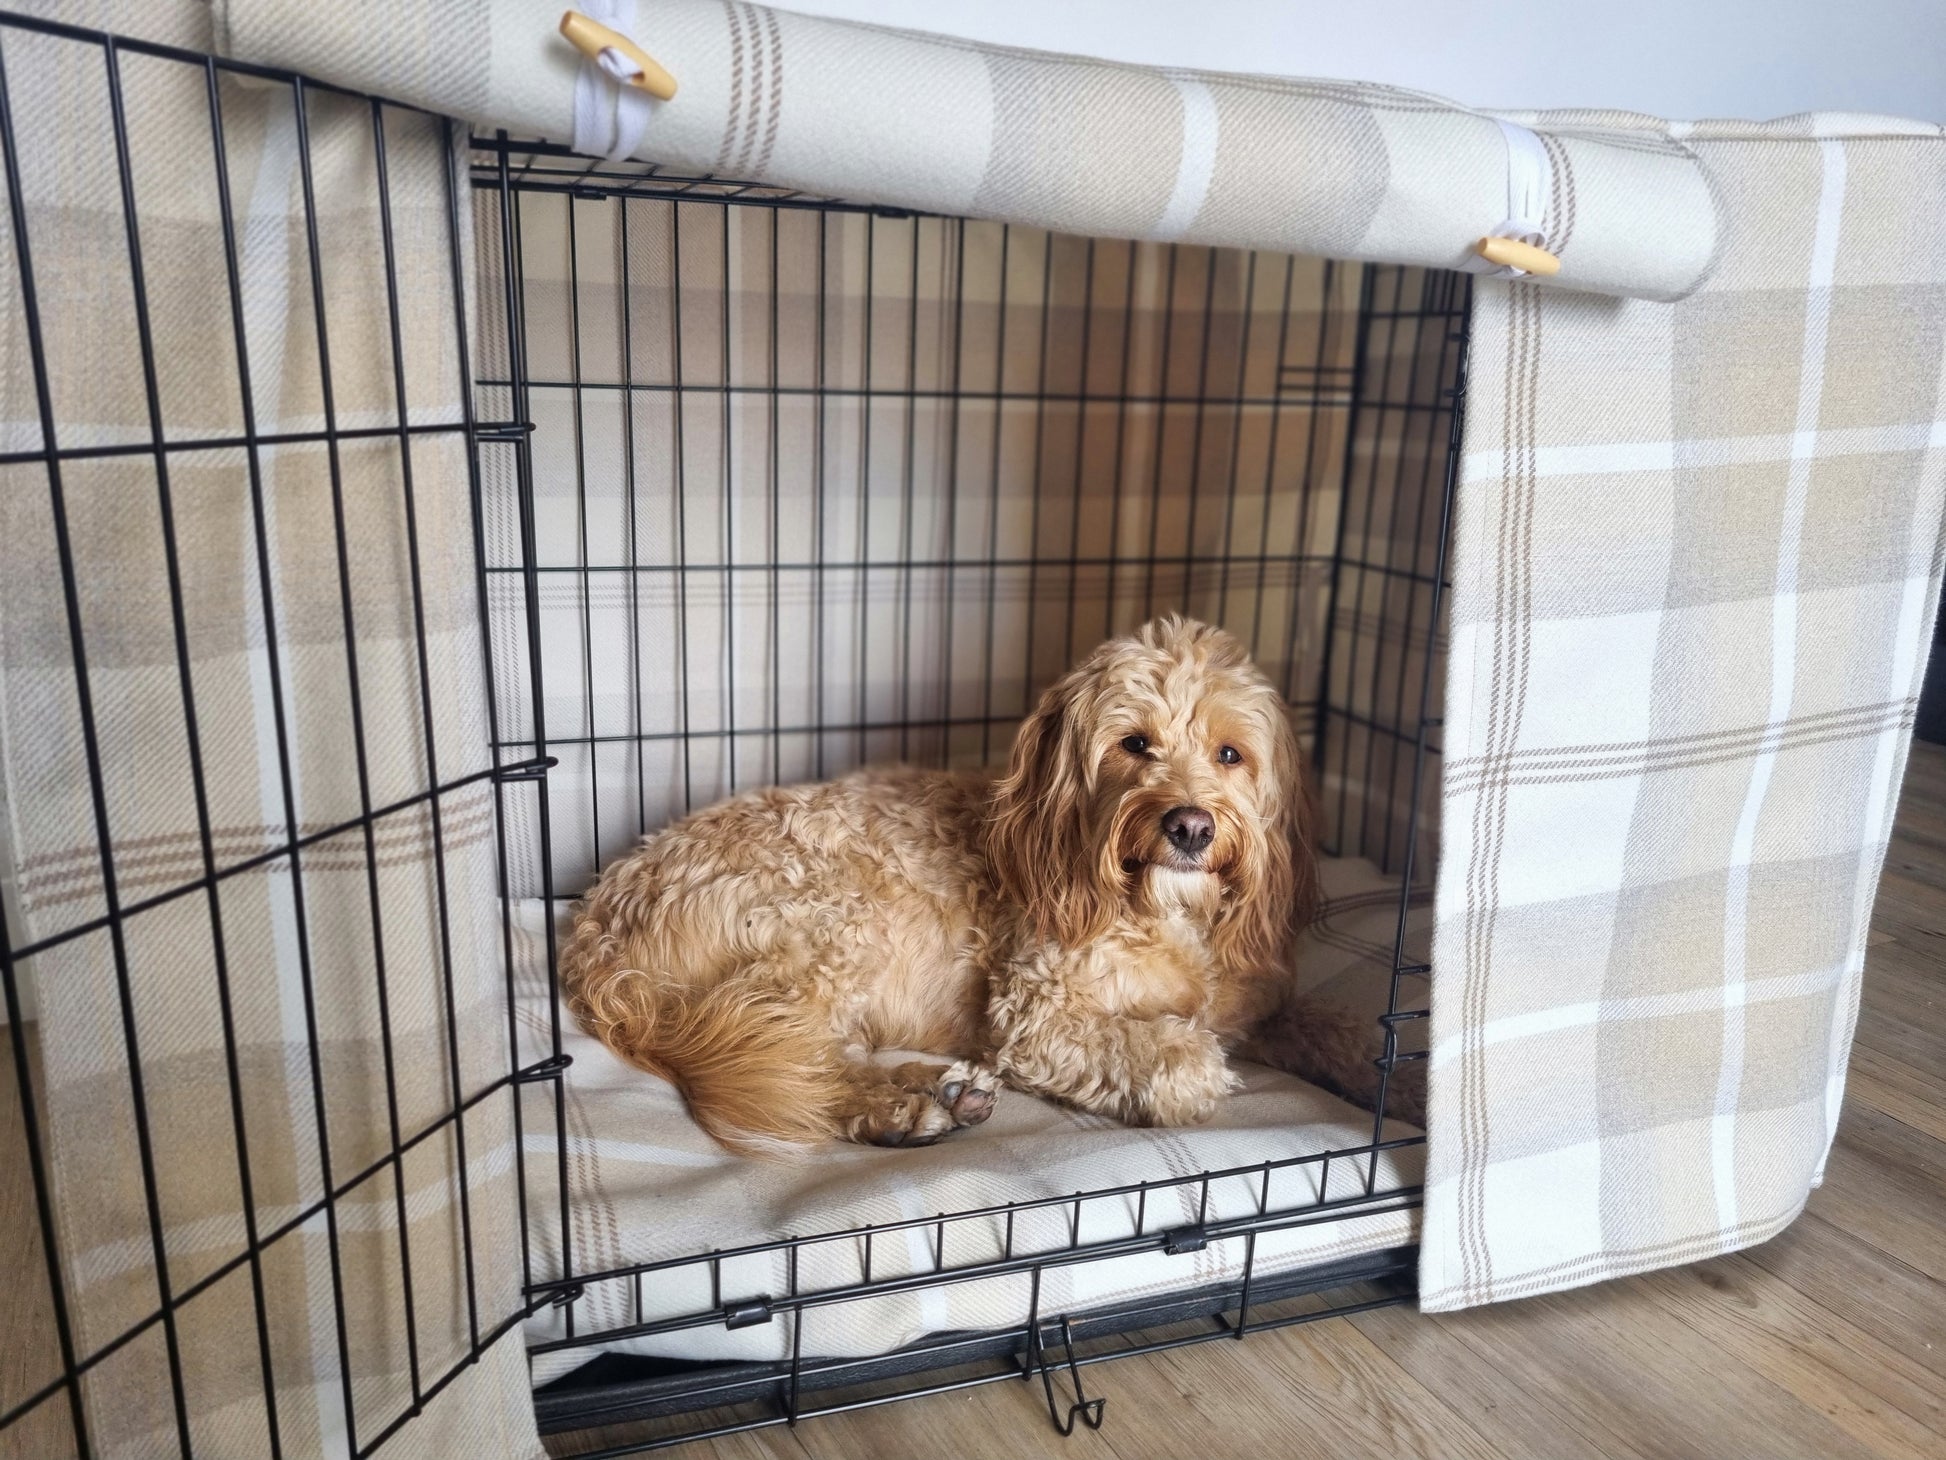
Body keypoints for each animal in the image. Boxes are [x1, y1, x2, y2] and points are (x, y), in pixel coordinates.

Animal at [564, 619, 1377, 1152]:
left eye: (1230, 753)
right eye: (1133, 743)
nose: (1190, 826)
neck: (1167, 912)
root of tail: (598, 930)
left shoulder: (1258, 1005)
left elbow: (1334, 1027)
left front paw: (1391, 1073)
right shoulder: (1038, 1016)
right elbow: (1177, 1054)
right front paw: (1184, 1067)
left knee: (805, 1053)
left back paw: (941, 1088)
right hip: (826, 927)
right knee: (795, 1061)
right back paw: (903, 1109)